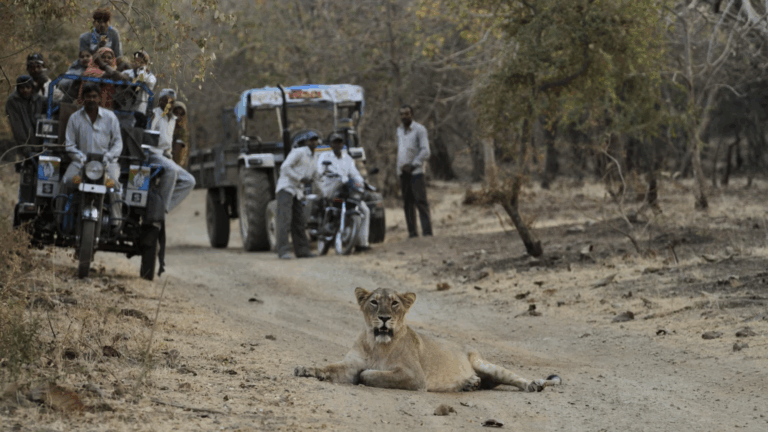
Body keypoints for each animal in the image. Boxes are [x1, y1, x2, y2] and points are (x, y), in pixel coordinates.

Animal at [294, 287, 561, 392]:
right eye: (374, 302)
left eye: (394, 303)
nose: (384, 318)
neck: (377, 345)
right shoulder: (350, 364)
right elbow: (329, 367)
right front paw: (305, 369)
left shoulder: (414, 376)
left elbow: (368, 374)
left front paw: (366, 376)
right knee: (486, 382)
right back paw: (470, 383)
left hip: (484, 363)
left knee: (514, 378)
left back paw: (534, 384)